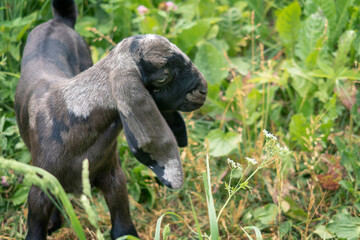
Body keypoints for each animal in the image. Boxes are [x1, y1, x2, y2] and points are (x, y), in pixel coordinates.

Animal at [15, 0, 207, 239]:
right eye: (163, 76)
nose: (203, 90)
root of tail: (58, 21)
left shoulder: (114, 179)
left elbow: (123, 228)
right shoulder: (40, 189)